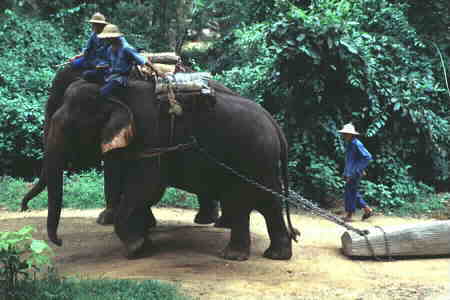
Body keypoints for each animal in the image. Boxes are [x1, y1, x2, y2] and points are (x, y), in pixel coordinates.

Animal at [27, 69, 298, 260]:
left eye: (70, 127)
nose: (60, 242)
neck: (115, 92)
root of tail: (276, 126)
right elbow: (138, 188)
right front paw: (144, 238)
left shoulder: (150, 137)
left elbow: (147, 186)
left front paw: (137, 248)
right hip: (262, 162)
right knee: (268, 202)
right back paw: (275, 254)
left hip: (252, 157)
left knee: (248, 198)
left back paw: (234, 255)